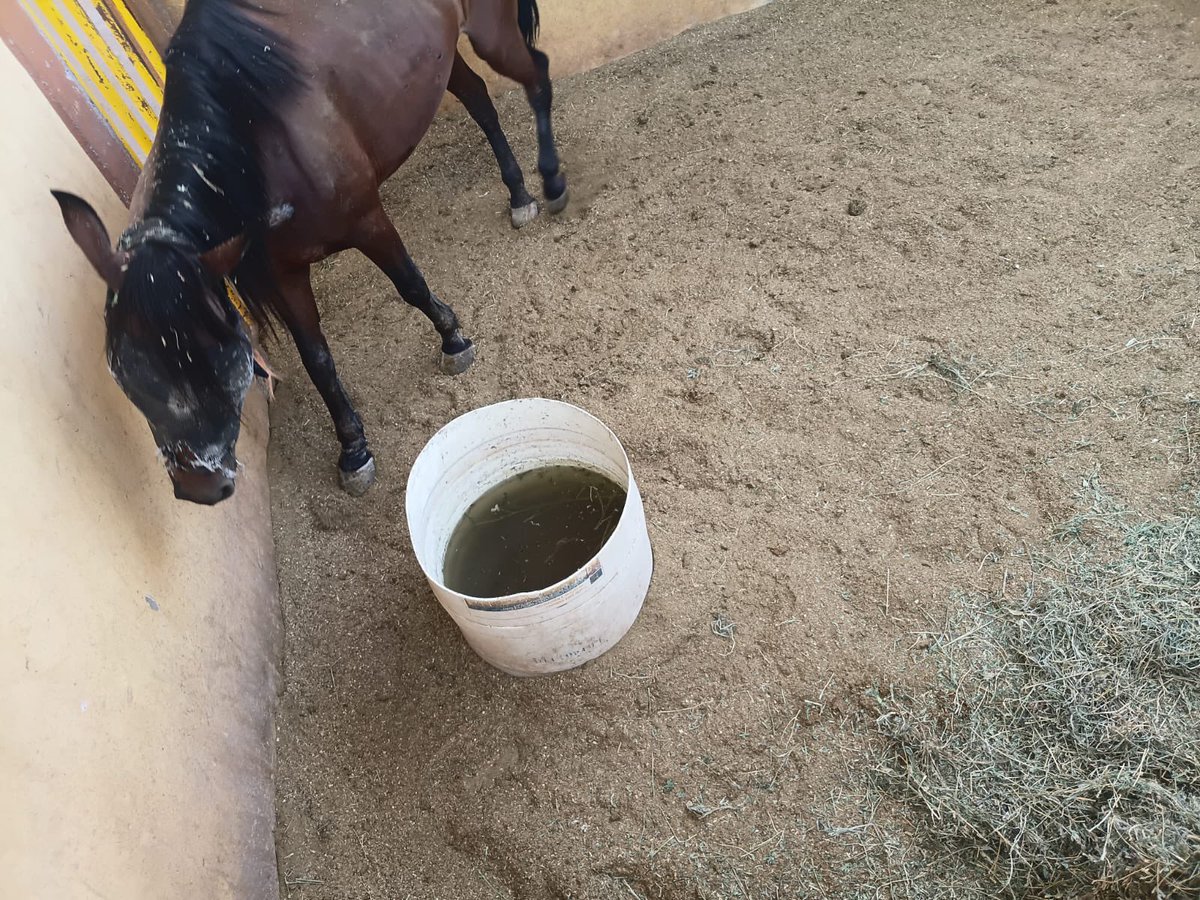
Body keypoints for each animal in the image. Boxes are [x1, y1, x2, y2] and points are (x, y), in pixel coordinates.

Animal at [53, 0, 566, 505]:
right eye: (125, 374)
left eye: (220, 358)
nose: (200, 488)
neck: (255, 146)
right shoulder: (283, 272)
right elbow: (316, 357)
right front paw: (354, 450)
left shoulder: (367, 221)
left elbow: (410, 285)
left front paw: (453, 340)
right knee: (477, 96)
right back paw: (518, 193)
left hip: (490, 30)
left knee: (536, 75)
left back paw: (552, 182)